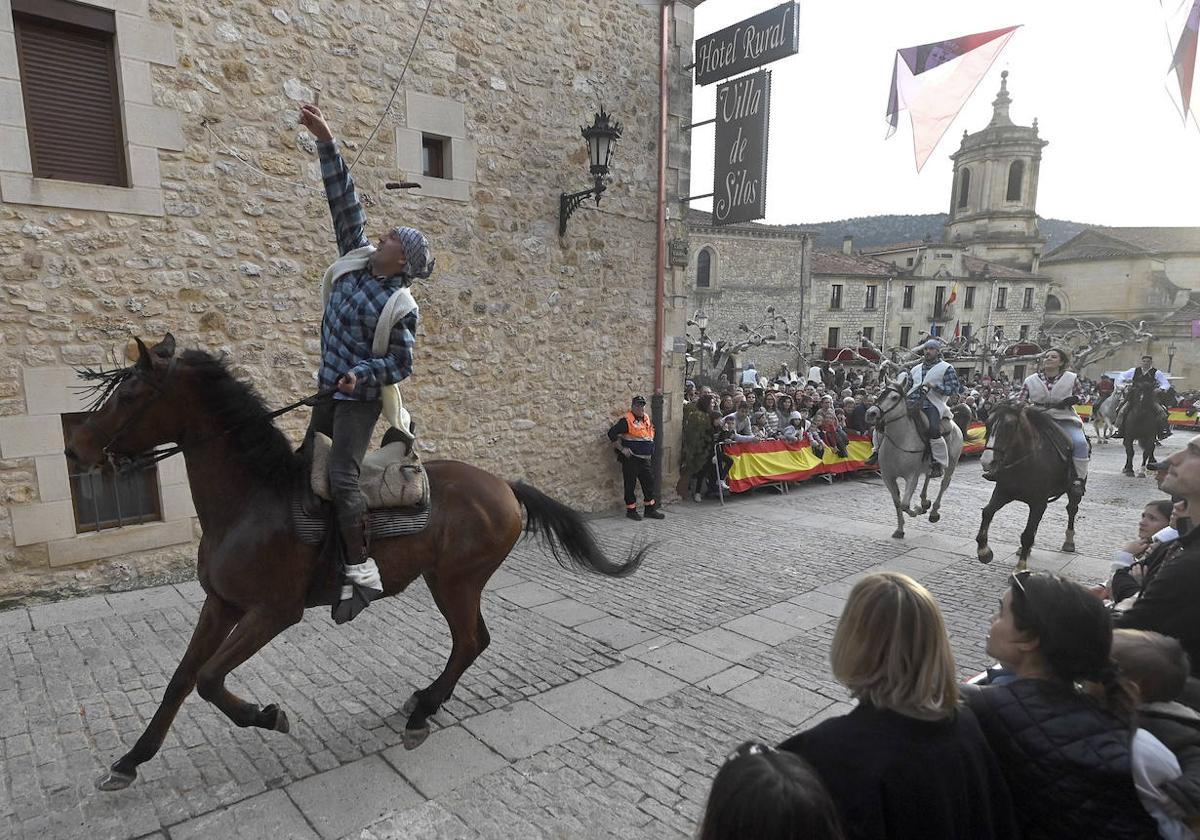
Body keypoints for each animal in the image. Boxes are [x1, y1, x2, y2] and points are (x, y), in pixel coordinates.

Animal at [63, 331, 648, 792]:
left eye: (130, 393)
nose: (75, 450)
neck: (254, 498)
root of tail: (504, 485)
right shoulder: (221, 604)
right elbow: (181, 679)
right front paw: (131, 760)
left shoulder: (272, 614)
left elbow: (208, 679)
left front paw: (266, 715)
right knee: (471, 642)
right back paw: (424, 701)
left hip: (454, 583)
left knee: (471, 641)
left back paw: (422, 710)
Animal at [878, 379, 969, 542]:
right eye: (881, 393)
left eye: (894, 397)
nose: (871, 413)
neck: (900, 441)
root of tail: (954, 424)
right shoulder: (888, 477)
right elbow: (897, 503)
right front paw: (899, 530)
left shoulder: (911, 477)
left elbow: (905, 504)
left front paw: (917, 510)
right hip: (928, 466)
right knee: (928, 475)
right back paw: (925, 501)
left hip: (951, 464)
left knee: (944, 484)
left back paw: (933, 512)